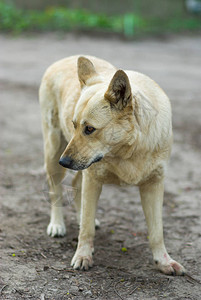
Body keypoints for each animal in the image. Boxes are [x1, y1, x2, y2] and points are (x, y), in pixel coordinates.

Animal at [39, 55, 185, 276]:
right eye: (74, 125)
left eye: (89, 129)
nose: (64, 162)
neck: (128, 151)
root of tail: (64, 59)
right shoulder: (92, 178)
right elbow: (87, 230)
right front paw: (83, 257)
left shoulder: (154, 185)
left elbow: (157, 232)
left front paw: (163, 262)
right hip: (54, 151)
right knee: (55, 189)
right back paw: (56, 225)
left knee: (76, 186)